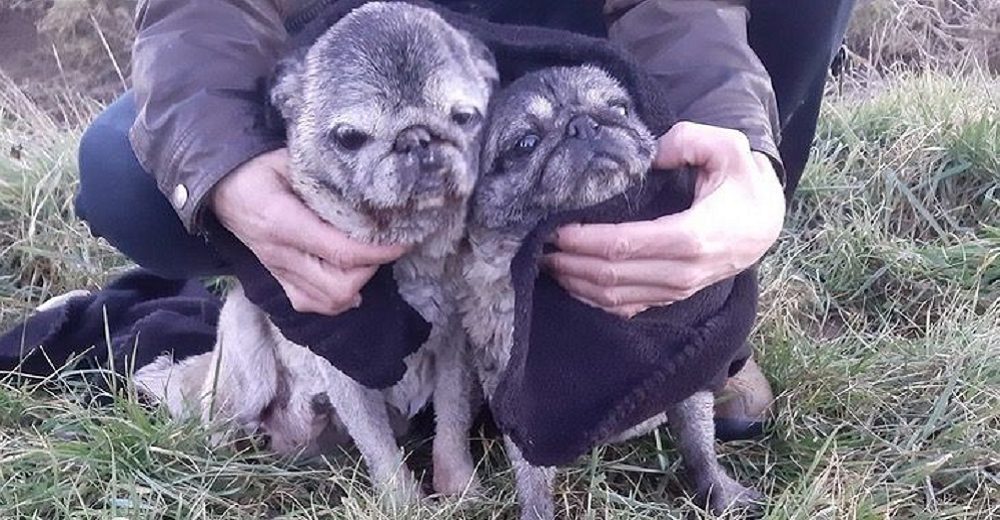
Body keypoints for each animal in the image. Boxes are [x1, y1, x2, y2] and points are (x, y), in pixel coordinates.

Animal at [137, 0, 496, 504]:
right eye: (349, 137)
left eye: (465, 117)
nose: (417, 137)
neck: (409, 252)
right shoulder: (350, 369)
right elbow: (381, 451)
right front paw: (404, 503)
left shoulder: (454, 354)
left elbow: (452, 427)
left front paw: (460, 489)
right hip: (245, 364)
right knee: (218, 423)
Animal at [458, 66, 756, 520]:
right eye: (525, 144)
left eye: (619, 108)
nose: (582, 124)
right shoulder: (522, 406)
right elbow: (532, 477)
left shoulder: (690, 378)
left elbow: (698, 443)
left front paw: (719, 490)